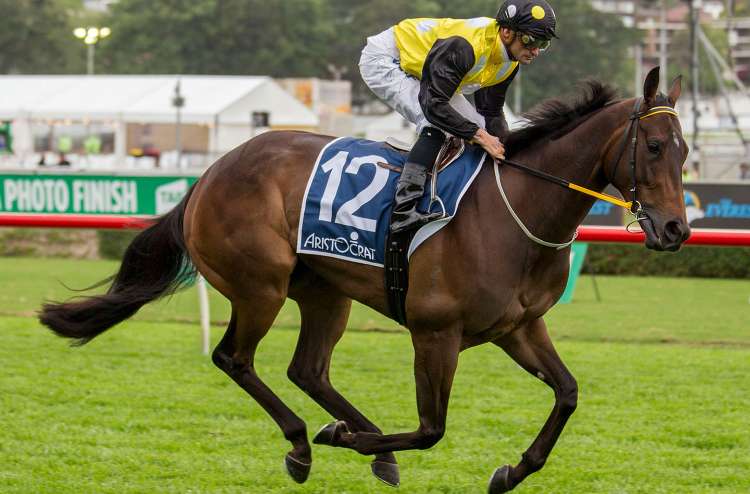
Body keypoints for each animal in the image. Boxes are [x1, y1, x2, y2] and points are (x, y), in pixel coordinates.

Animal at [40, 67, 689, 493]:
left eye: (685, 153)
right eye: (656, 146)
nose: (676, 228)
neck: (517, 213)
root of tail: (209, 173)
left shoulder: (520, 327)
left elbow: (568, 393)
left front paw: (510, 471)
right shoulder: (435, 333)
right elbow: (430, 429)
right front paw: (343, 441)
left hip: (324, 292)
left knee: (307, 369)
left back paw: (356, 440)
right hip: (260, 286)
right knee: (235, 358)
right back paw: (306, 442)